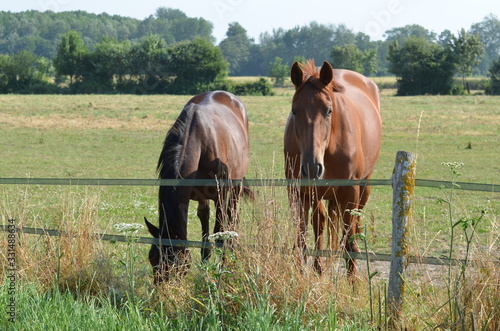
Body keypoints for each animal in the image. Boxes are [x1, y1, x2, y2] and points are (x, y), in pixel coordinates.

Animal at [146, 91, 252, 282]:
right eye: (152, 258)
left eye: (177, 263)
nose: (164, 289)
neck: (199, 142)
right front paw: (205, 268)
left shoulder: (220, 195)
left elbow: (220, 232)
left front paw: (222, 271)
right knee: (205, 215)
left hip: (235, 185)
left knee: (232, 216)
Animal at [284, 60, 380, 278]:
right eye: (294, 110)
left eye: (328, 110)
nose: (311, 167)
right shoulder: (298, 193)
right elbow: (301, 240)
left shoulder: (350, 192)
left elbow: (349, 243)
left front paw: (353, 282)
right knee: (321, 222)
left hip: (363, 187)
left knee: (353, 224)